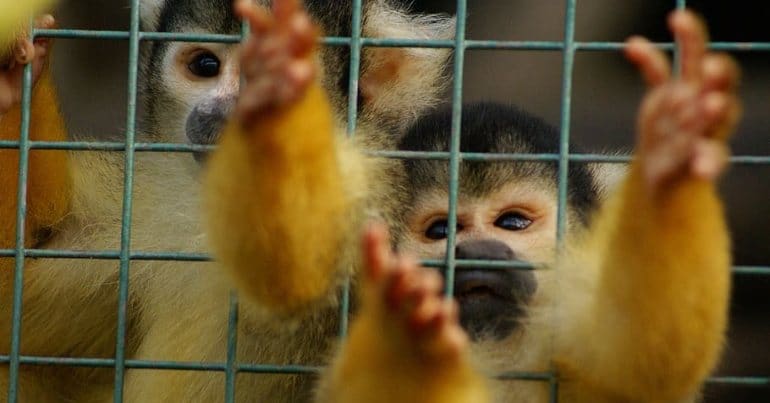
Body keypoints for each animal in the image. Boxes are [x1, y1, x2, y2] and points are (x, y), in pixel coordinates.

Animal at [0, 0, 455, 401]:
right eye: (205, 66)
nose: (224, 113)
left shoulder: (374, 182)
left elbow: (298, 279)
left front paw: (275, 102)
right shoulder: (143, 204)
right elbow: (21, 288)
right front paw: (14, 75)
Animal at [202, 3, 740, 402]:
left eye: (513, 223)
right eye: (441, 230)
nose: (477, 252)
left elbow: (642, 358)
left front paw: (673, 147)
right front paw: (408, 339)